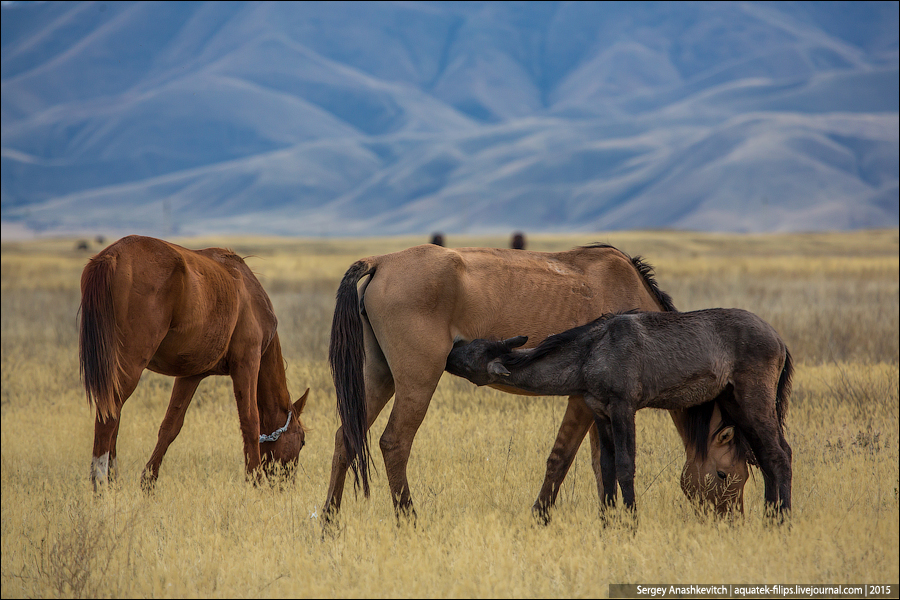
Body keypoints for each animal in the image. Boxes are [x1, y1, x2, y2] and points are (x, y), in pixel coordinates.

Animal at [79, 236, 310, 492]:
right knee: (109, 416)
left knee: (114, 415)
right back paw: (101, 483)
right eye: (302, 441)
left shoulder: (190, 375)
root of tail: (112, 256)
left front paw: (148, 482)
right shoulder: (247, 363)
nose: (287, 486)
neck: (249, 296)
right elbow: (250, 421)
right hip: (130, 366)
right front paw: (254, 480)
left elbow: (170, 426)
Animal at [326, 241, 748, 524]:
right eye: (727, 475)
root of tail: (382, 262)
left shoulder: (602, 407)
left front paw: (607, 520)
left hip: (379, 378)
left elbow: (602, 465)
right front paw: (541, 517)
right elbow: (562, 459)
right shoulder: (584, 402)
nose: (733, 522)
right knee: (394, 442)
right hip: (417, 382)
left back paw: (329, 523)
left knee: (347, 437)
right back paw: (409, 521)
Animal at [446, 310, 792, 516]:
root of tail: (779, 338)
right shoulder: (600, 413)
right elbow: (607, 468)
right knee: (766, 455)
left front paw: (631, 522)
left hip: (754, 401)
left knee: (779, 454)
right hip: (736, 404)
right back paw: (770, 514)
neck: (590, 353)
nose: (450, 349)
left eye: (473, 352)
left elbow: (626, 466)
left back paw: (782, 519)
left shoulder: (624, 408)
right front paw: (609, 524)